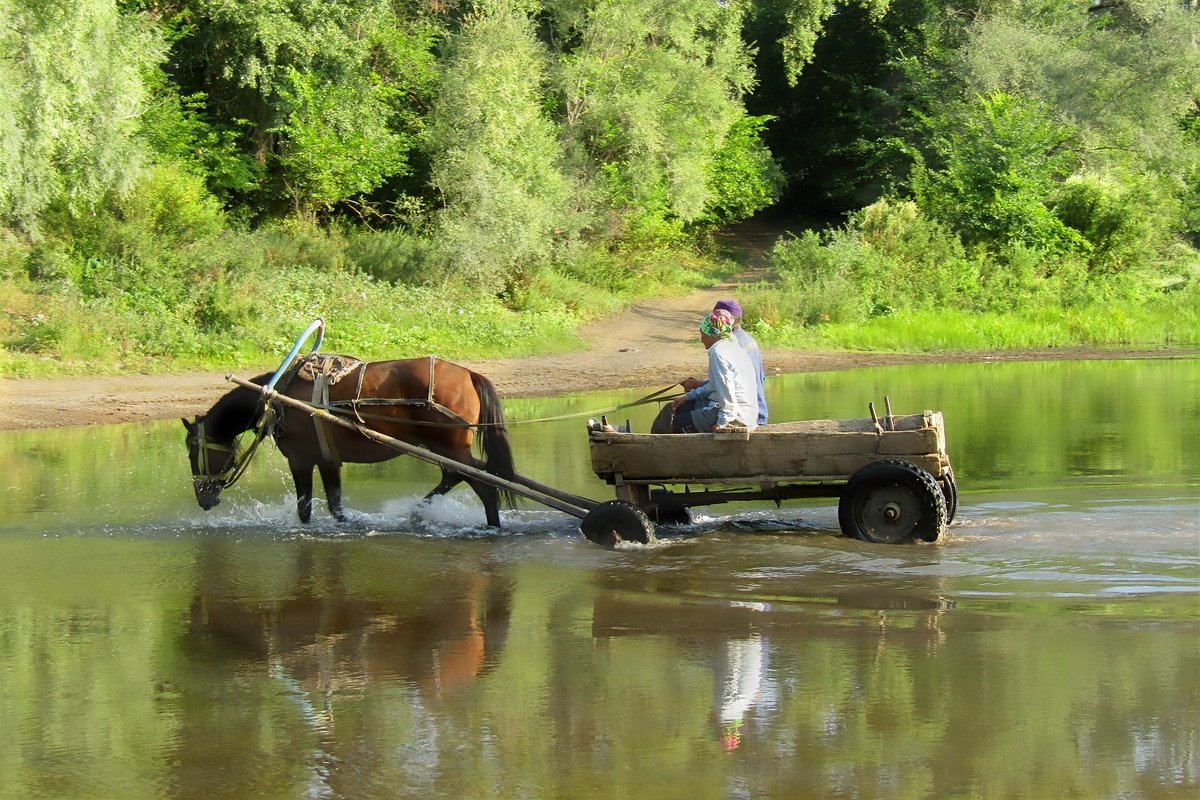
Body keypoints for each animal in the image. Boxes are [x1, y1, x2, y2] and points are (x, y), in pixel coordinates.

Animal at [181, 355, 516, 525]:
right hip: (446, 448)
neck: (277, 399)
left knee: (482, 483)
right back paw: (419, 511)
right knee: (459, 476)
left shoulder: (300, 459)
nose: (202, 499)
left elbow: (305, 510)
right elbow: (335, 505)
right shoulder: (328, 459)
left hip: (449, 446)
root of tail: (469, 373)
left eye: (191, 453)